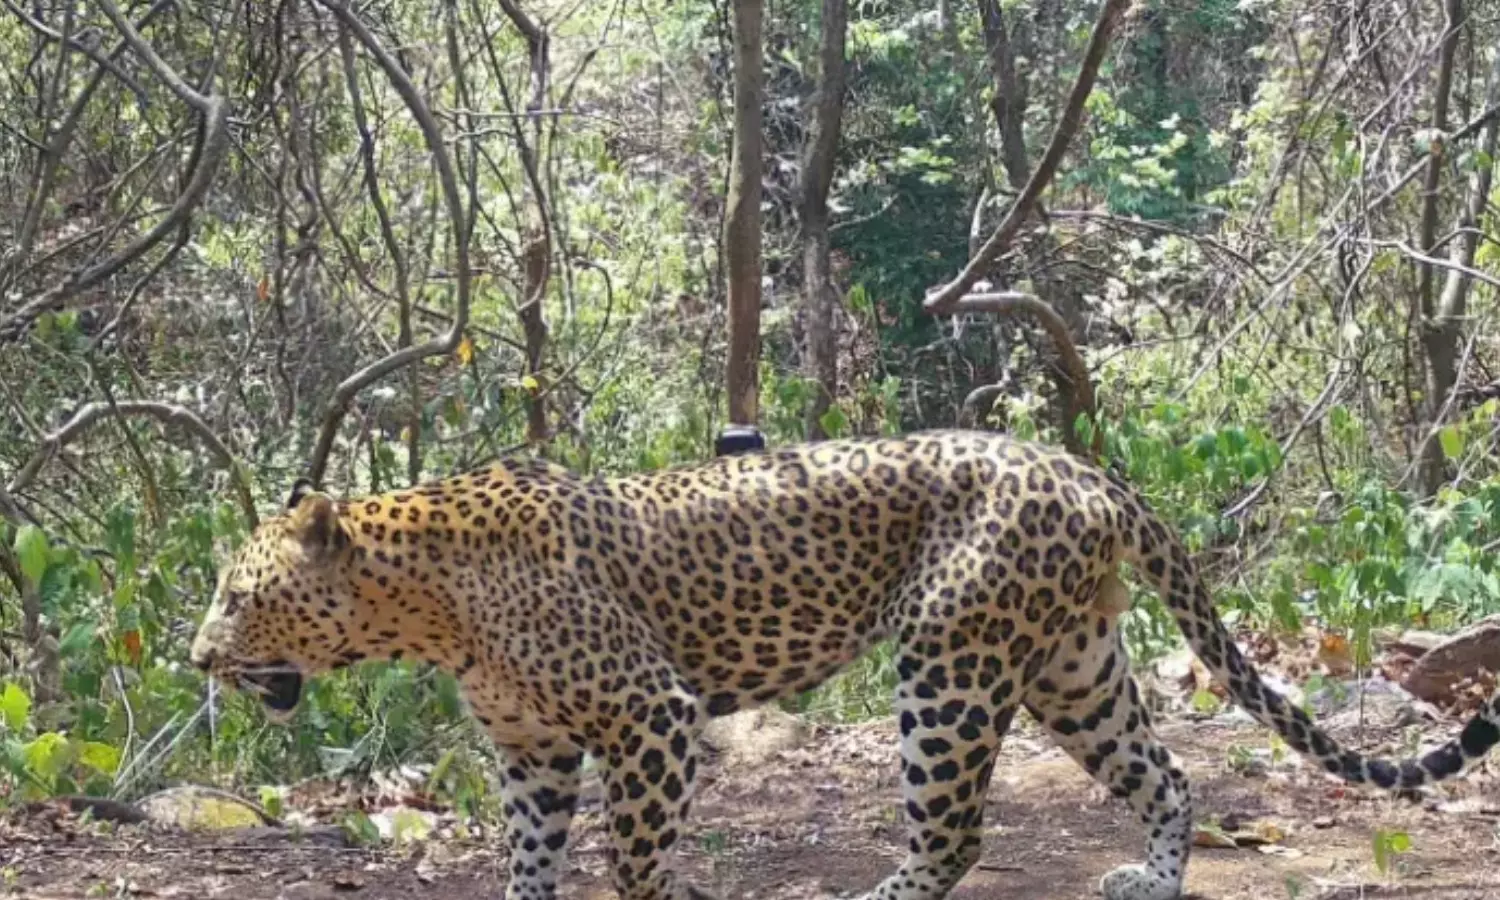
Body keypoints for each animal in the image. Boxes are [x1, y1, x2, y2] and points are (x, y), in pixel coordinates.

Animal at [190, 430, 1500, 900]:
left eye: (238, 594)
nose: (199, 656)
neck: (423, 604)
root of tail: (1077, 463)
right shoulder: (532, 751)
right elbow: (529, 864)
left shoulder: (652, 715)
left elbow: (634, 860)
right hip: (1073, 669)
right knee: (1167, 776)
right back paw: (1153, 878)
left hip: (950, 665)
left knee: (954, 832)